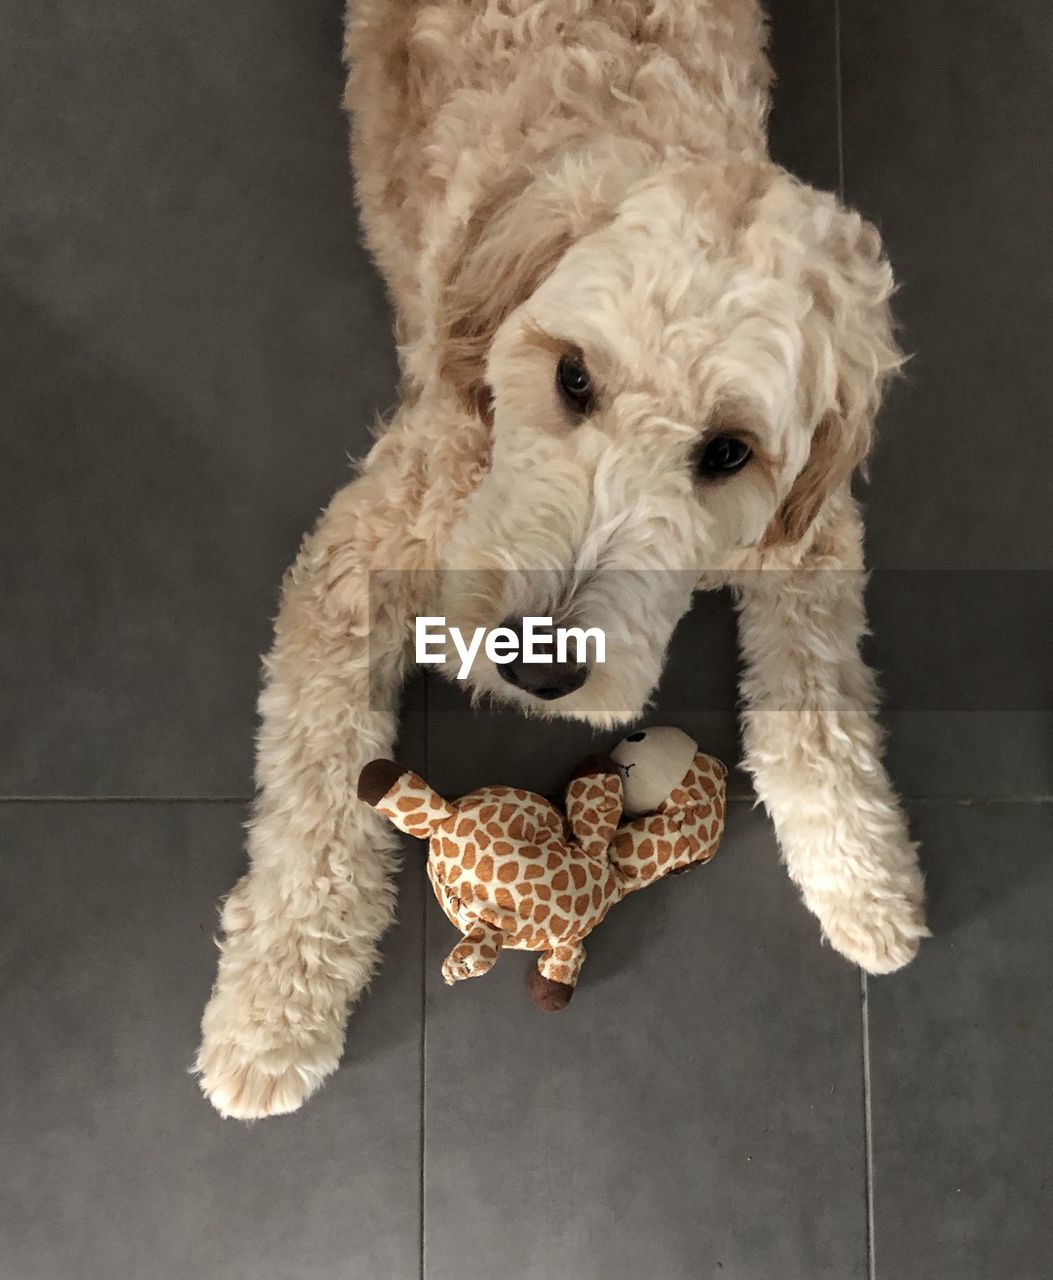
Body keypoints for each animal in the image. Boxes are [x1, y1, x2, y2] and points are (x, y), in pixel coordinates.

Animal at [197, 0, 931, 1121]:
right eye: (573, 376)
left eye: (729, 451)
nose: (538, 670)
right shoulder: (363, 554)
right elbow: (317, 807)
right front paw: (274, 1009)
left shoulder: (808, 532)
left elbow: (818, 715)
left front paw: (863, 874)